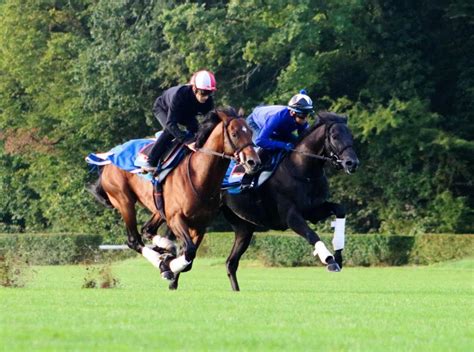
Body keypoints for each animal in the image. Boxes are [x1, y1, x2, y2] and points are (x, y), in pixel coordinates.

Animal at [90, 108, 262, 288]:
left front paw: (168, 262)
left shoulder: (199, 226)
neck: (199, 176)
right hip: (124, 201)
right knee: (134, 240)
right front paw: (168, 266)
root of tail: (109, 156)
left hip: (158, 208)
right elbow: (189, 252)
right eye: (235, 134)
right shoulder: (176, 219)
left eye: (250, 132)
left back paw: (164, 249)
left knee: (147, 229)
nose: (254, 162)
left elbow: (189, 257)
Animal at [220, 111, 358, 290]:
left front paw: (338, 256)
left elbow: (340, 209)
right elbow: (311, 234)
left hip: (243, 227)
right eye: (334, 136)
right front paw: (329, 260)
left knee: (231, 263)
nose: (352, 163)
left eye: (350, 135)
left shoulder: (313, 210)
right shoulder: (290, 216)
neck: (301, 169)